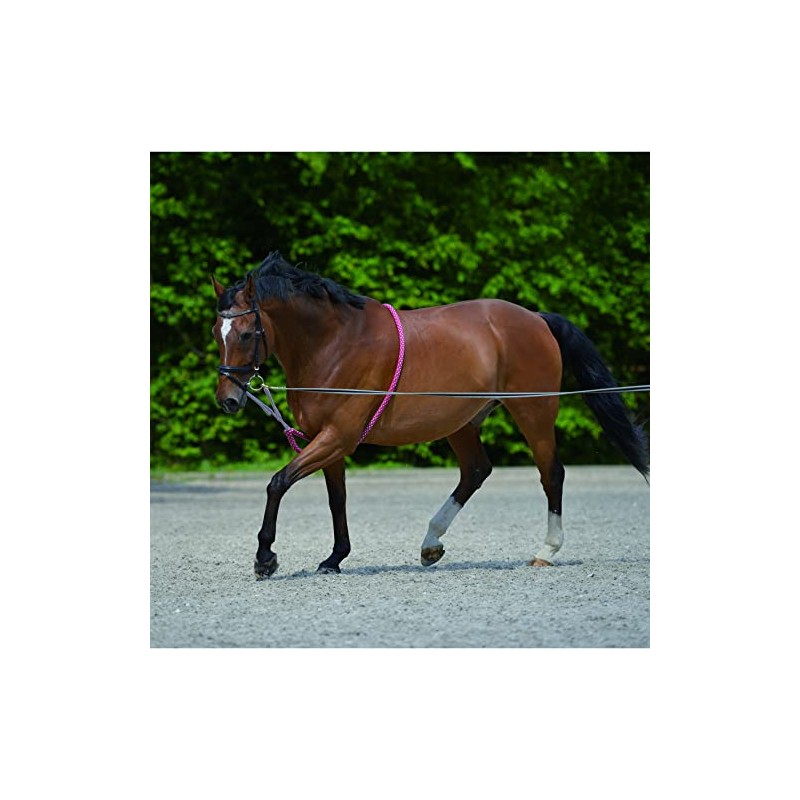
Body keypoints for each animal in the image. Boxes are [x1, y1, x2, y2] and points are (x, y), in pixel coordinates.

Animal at [212, 252, 649, 579]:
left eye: (247, 333)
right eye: (217, 331)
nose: (228, 400)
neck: (334, 344)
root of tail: (536, 318)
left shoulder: (338, 437)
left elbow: (278, 483)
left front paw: (265, 559)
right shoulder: (327, 440)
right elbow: (337, 499)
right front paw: (334, 558)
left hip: (534, 412)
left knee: (551, 474)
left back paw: (546, 550)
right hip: (462, 422)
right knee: (476, 471)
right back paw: (430, 544)